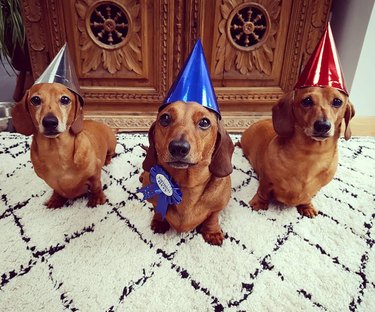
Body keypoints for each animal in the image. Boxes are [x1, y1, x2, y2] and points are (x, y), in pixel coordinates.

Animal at [142, 101, 235, 245]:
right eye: (165, 118)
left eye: (204, 122)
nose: (178, 147)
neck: (186, 185)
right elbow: (157, 208)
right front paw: (159, 220)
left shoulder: (217, 206)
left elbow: (213, 217)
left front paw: (212, 232)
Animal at [241, 85, 356, 217]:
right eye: (307, 101)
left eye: (337, 101)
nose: (323, 125)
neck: (310, 154)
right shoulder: (266, 181)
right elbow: (263, 192)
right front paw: (259, 204)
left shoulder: (314, 190)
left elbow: (307, 198)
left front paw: (307, 207)